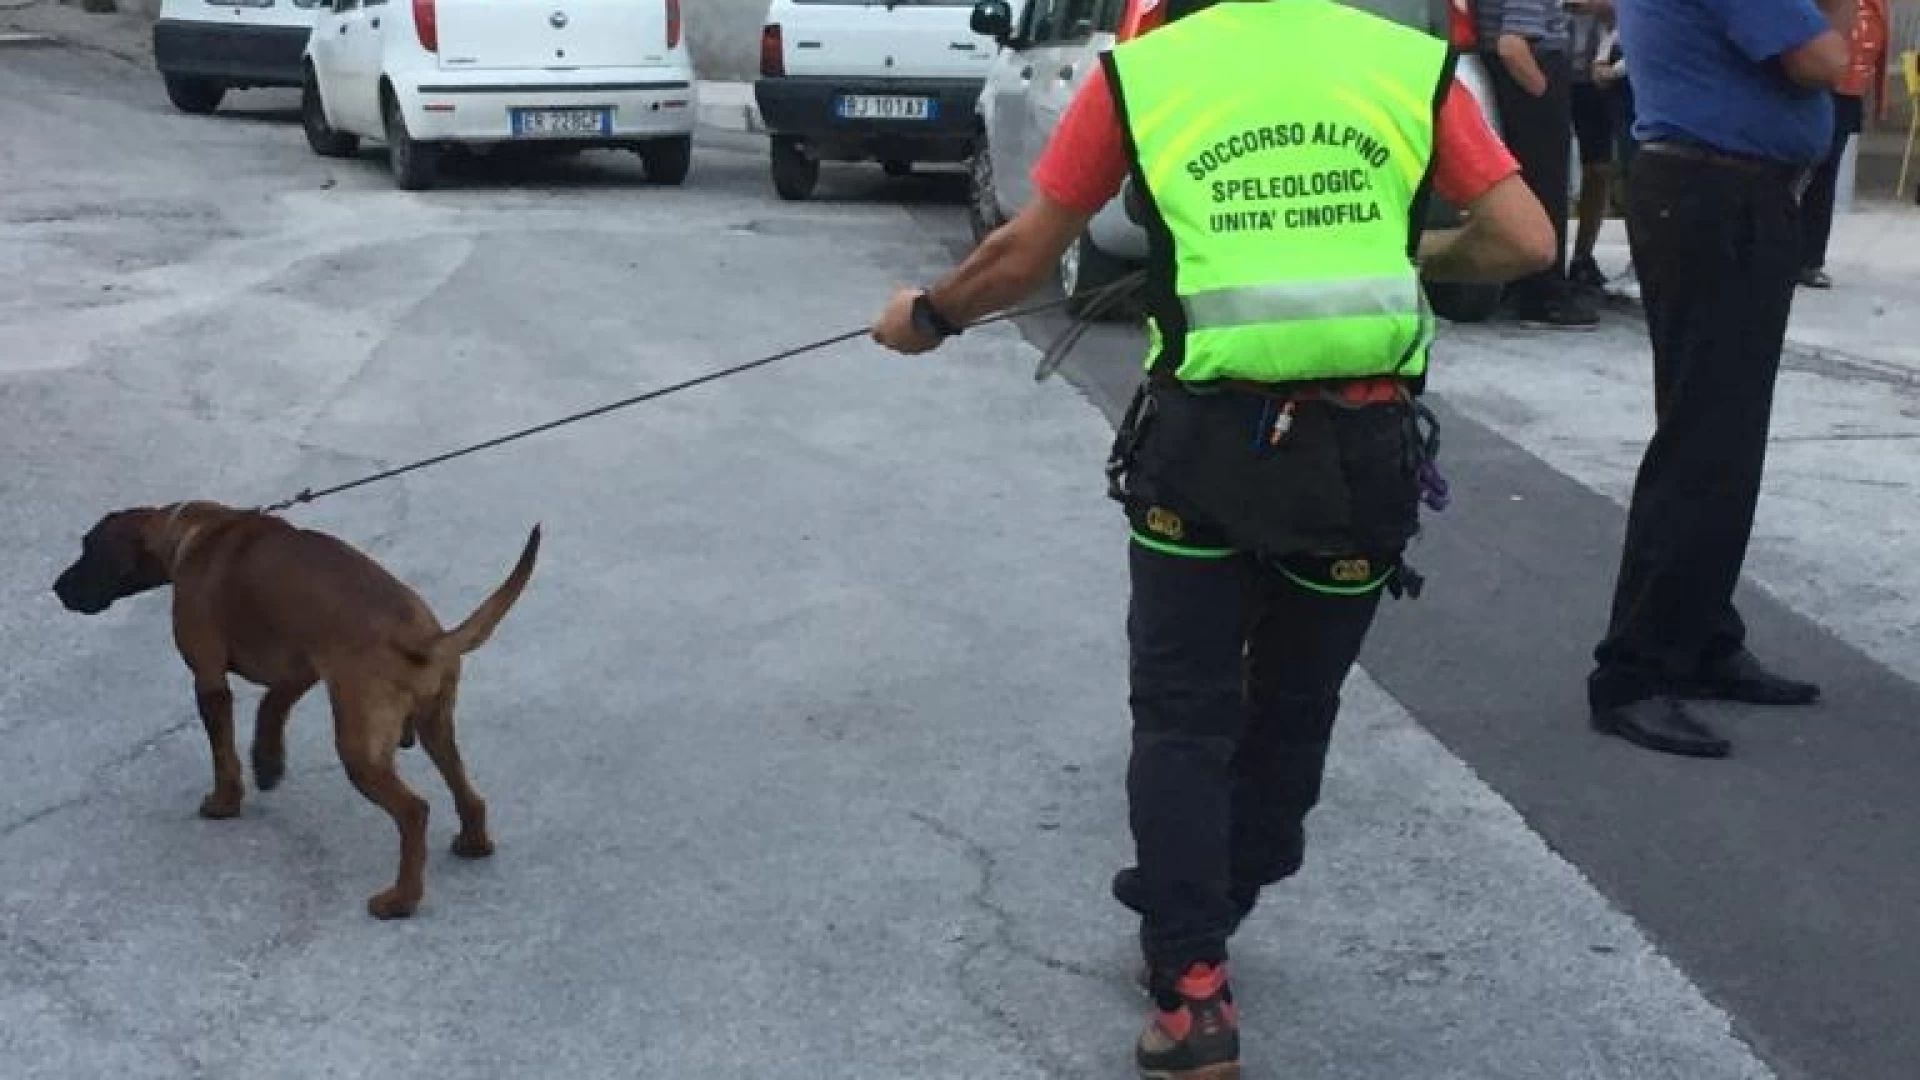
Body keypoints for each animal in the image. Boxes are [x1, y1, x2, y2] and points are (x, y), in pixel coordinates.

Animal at [50, 503, 541, 914]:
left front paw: (224, 802)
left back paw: (400, 900)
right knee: (467, 792)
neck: (186, 530)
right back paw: (474, 843)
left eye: (88, 549)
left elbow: (223, 753)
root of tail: (423, 637)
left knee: (414, 812)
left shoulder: (209, 679)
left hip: (360, 749)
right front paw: (268, 764)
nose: (56, 588)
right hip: (435, 726)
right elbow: (271, 706)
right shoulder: (303, 666)